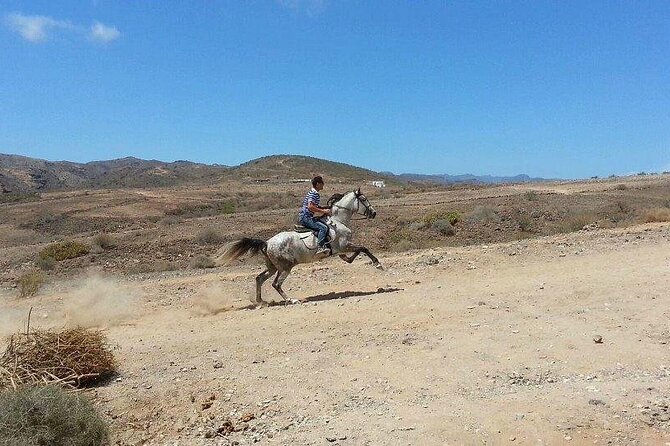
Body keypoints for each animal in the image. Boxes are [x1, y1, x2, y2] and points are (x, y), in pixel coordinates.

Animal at [217, 186, 384, 304]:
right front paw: (378, 264)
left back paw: (261, 302)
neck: (338, 221)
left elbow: (353, 255)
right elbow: (363, 248)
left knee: (259, 278)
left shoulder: (341, 249)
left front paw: (348, 260)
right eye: (364, 199)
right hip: (285, 267)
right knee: (276, 284)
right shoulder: (344, 245)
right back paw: (291, 300)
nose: (374, 213)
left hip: (273, 267)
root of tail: (267, 243)